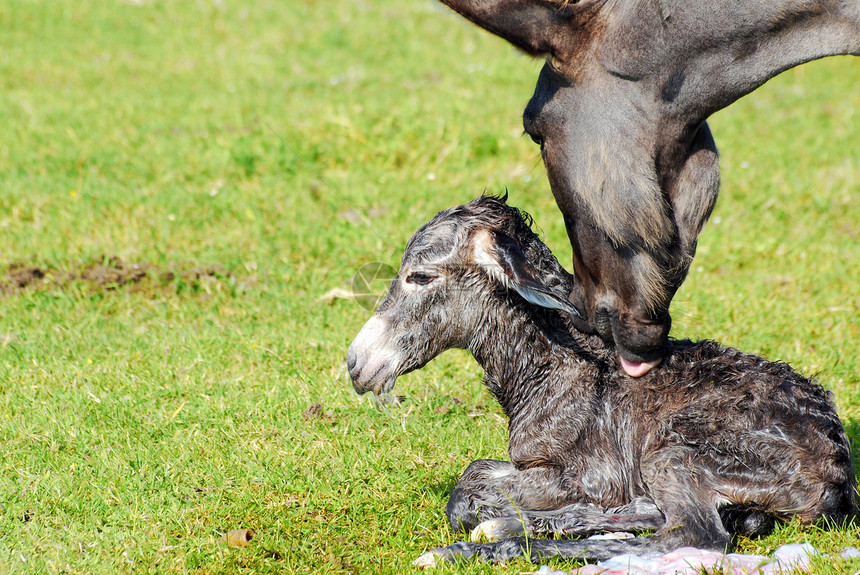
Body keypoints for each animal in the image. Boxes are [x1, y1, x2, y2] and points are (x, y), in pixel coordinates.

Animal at [346, 196, 856, 564]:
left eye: (420, 276)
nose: (356, 363)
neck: (548, 372)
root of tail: (837, 471)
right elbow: (475, 476)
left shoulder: (591, 475)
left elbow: (468, 492)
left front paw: (492, 525)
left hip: (676, 453)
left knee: (692, 537)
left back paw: (482, 547)